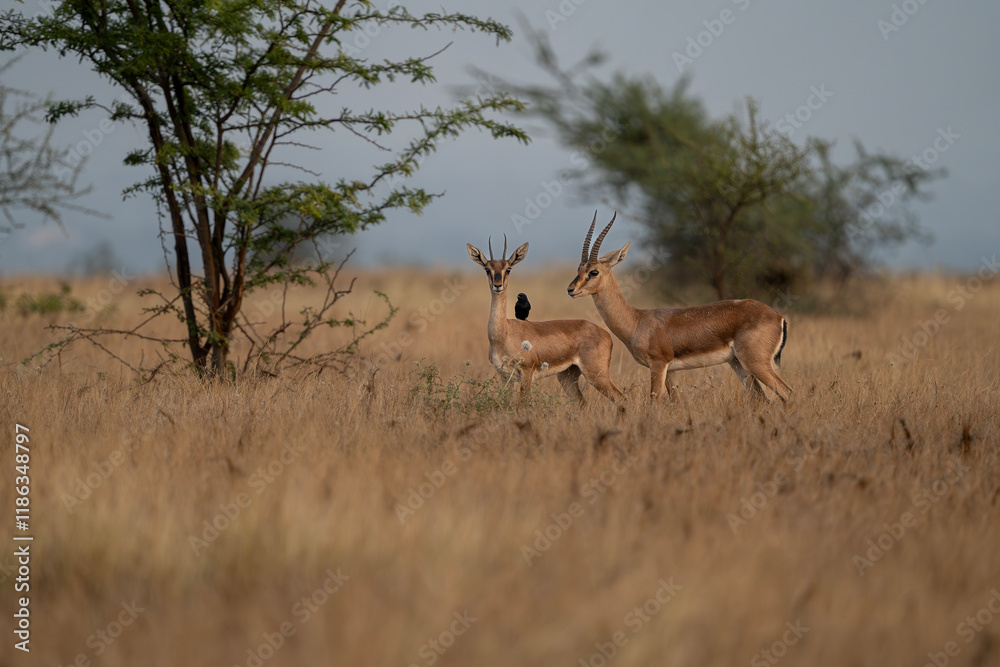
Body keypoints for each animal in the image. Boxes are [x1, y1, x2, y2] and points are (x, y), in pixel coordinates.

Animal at [467, 235, 626, 409]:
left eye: (508, 269)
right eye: (487, 269)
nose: (498, 285)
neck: (504, 333)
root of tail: (606, 334)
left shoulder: (526, 373)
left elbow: (522, 406)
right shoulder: (504, 376)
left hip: (597, 375)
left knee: (621, 399)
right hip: (567, 377)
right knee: (583, 403)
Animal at [567, 212, 792, 404]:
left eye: (594, 272)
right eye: (579, 269)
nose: (571, 289)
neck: (637, 321)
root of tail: (778, 317)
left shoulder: (658, 366)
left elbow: (653, 402)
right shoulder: (671, 371)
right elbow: (676, 402)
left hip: (756, 363)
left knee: (787, 392)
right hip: (739, 364)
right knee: (761, 398)